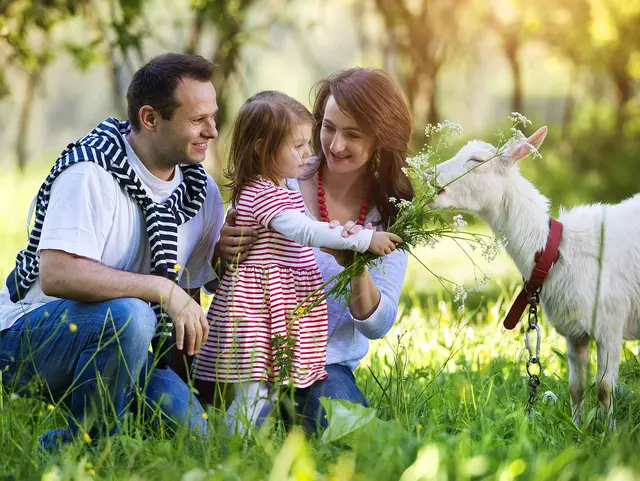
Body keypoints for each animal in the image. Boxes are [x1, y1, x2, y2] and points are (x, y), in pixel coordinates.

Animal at [436, 125, 640, 426]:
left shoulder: (610, 324)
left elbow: (604, 388)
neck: (555, 251)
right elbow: (576, 387)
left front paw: (608, 432)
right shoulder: (574, 331)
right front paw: (577, 429)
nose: (429, 174)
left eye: (476, 160)